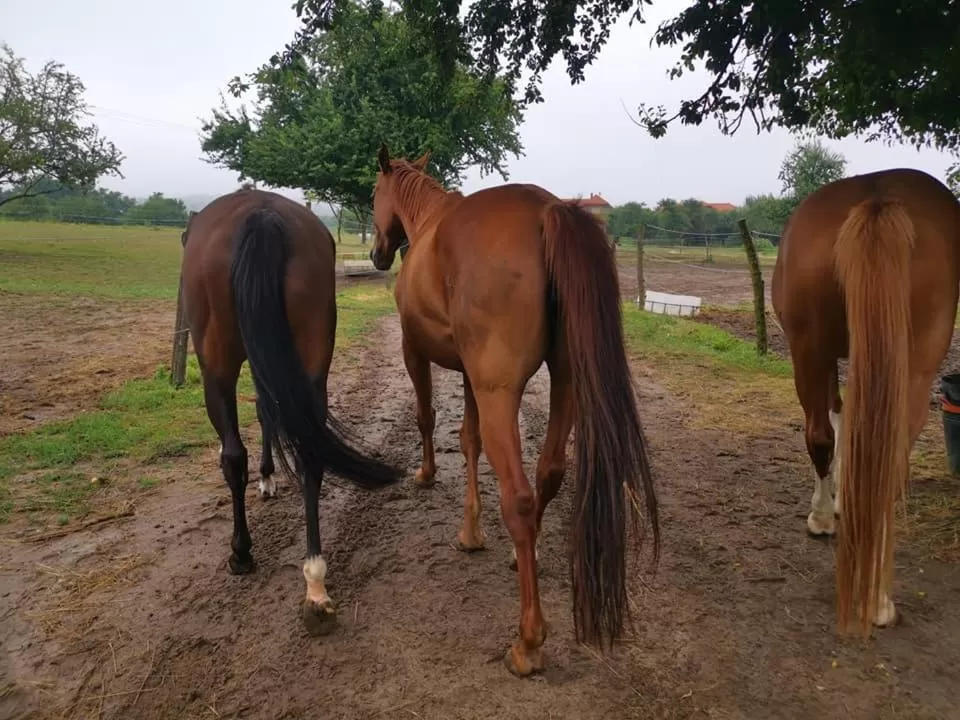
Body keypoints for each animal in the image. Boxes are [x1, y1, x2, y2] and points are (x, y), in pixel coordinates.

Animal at [180, 187, 402, 635]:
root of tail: (262, 215)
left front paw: (264, 481)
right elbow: (270, 412)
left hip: (217, 368)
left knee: (233, 456)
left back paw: (243, 553)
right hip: (313, 360)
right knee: (309, 451)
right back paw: (315, 584)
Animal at [369, 145, 660, 676]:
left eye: (374, 193)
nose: (378, 254)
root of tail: (547, 211)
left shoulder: (414, 352)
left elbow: (428, 418)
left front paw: (428, 477)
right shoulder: (469, 374)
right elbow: (469, 439)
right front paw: (472, 529)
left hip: (499, 391)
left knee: (521, 497)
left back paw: (528, 642)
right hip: (565, 382)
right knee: (550, 472)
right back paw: (526, 554)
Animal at [772, 167, 960, 635]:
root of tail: (879, 199)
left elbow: (840, 422)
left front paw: (834, 506)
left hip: (813, 352)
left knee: (825, 437)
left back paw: (830, 530)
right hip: (908, 366)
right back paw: (877, 597)